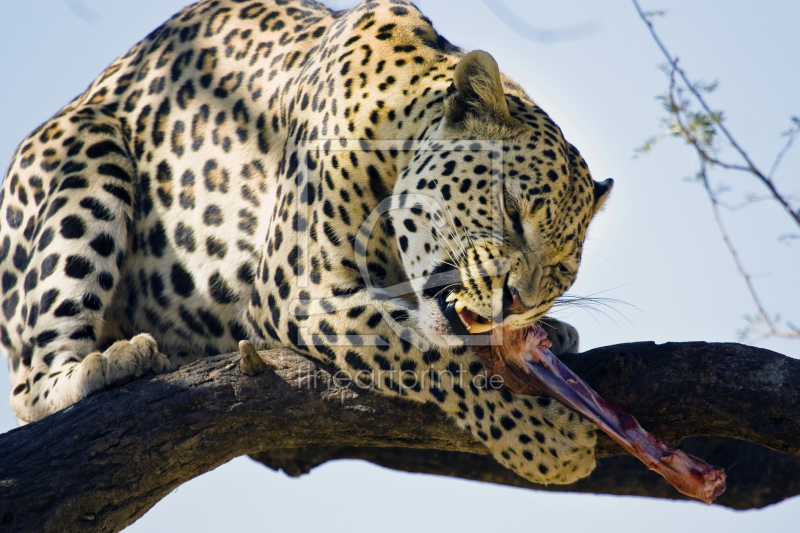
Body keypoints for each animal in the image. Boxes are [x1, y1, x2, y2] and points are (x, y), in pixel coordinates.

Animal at [1, 0, 612, 484]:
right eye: (510, 211)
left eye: (564, 267)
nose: (519, 301)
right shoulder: (303, 292)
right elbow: (429, 354)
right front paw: (546, 437)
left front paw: (552, 335)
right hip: (89, 146)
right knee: (28, 385)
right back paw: (110, 362)